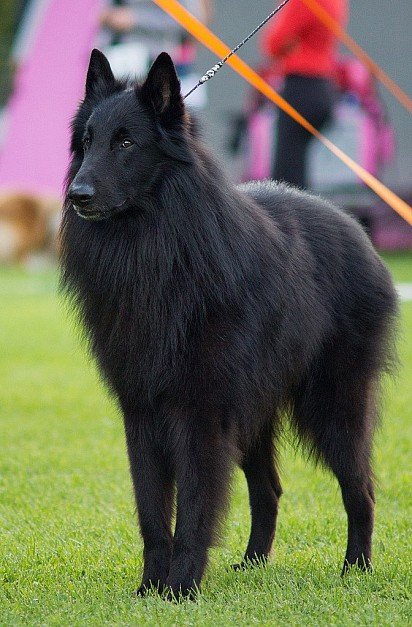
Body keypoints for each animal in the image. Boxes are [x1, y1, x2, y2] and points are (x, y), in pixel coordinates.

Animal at [60, 47, 396, 600]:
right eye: (86, 142)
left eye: (126, 142)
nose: (77, 194)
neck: (159, 248)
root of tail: (354, 225)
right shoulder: (142, 413)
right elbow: (153, 513)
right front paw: (150, 589)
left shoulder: (201, 416)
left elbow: (195, 509)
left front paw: (181, 589)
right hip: (254, 413)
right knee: (269, 489)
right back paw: (255, 563)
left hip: (334, 406)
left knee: (361, 488)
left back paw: (356, 568)